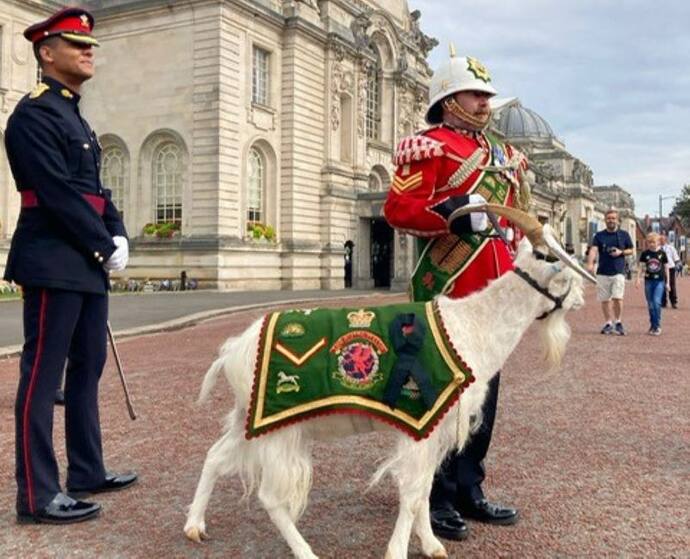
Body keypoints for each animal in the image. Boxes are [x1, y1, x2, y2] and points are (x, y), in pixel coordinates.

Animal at [184, 206, 596, 559]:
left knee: (215, 456)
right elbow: (413, 493)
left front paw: (431, 544)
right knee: (270, 496)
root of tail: (233, 349)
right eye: (559, 263)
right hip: (280, 430)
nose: (581, 298)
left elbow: (426, 490)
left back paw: (194, 525)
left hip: (252, 418)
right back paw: (305, 552)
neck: (471, 326)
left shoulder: (436, 427)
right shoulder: (421, 422)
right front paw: (398, 550)